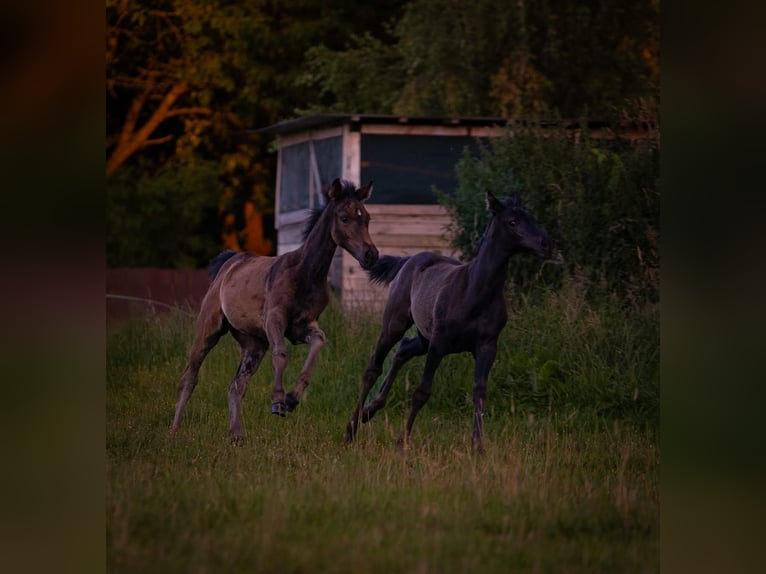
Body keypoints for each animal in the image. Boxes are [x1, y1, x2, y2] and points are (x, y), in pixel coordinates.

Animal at [172, 179, 380, 440]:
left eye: (367, 218)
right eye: (344, 217)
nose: (371, 255)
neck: (305, 274)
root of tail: (228, 264)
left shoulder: (302, 327)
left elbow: (319, 342)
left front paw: (292, 399)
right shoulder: (275, 320)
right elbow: (280, 354)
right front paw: (278, 401)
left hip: (253, 344)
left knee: (236, 386)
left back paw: (236, 437)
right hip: (209, 328)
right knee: (189, 376)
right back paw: (174, 431)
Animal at [344, 194, 560, 454]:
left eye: (532, 218)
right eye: (512, 222)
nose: (547, 244)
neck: (476, 291)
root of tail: (410, 259)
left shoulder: (487, 346)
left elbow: (480, 392)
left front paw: (478, 445)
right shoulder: (439, 343)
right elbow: (422, 392)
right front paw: (402, 441)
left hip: (423, 338)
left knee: (403, 349)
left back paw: (371, 409)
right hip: (396, 325)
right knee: (373, 368)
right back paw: (351, 428)